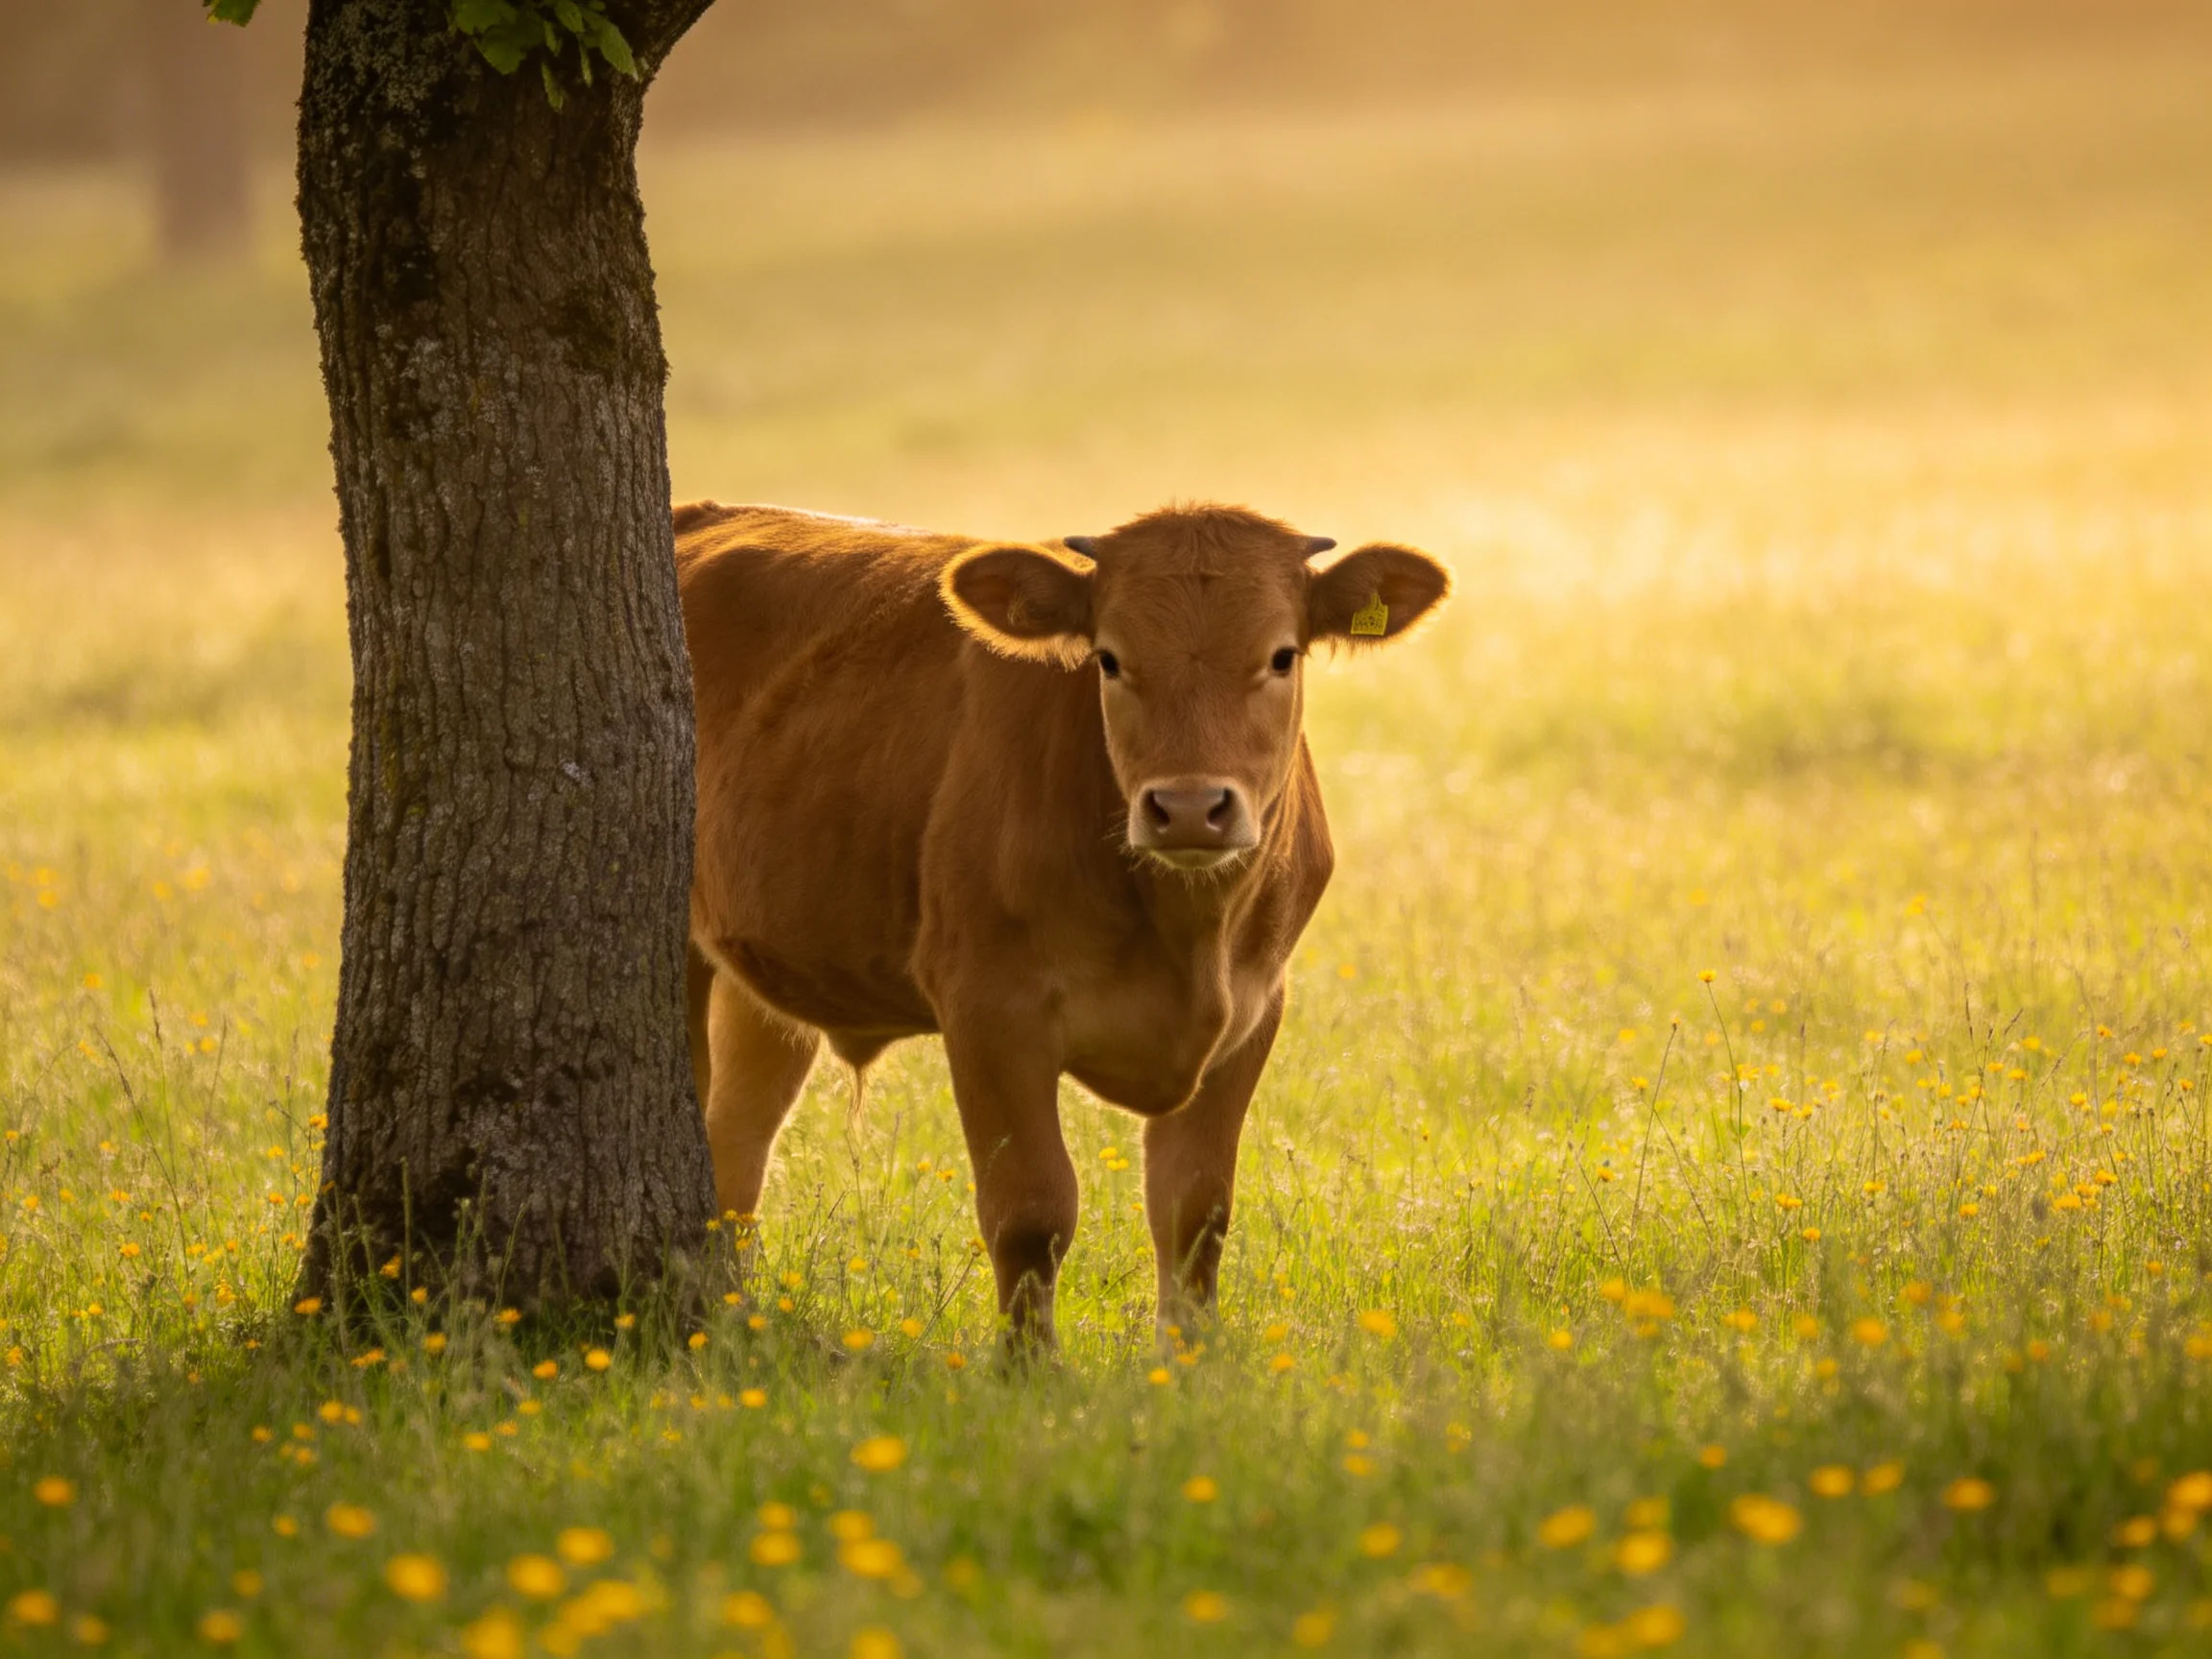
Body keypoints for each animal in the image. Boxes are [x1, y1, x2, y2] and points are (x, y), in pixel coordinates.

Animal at [676, 500, 1449, 1348]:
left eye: (1282, 656)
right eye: (1108, 659)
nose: (1188, 808)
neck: (1188, 934)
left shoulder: (1253, 1011)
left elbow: (1195, 1209)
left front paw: (1188, 1360)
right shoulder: (990, 1009)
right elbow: (1031, 1212)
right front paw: (1027, 1365)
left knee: (736, 1144)